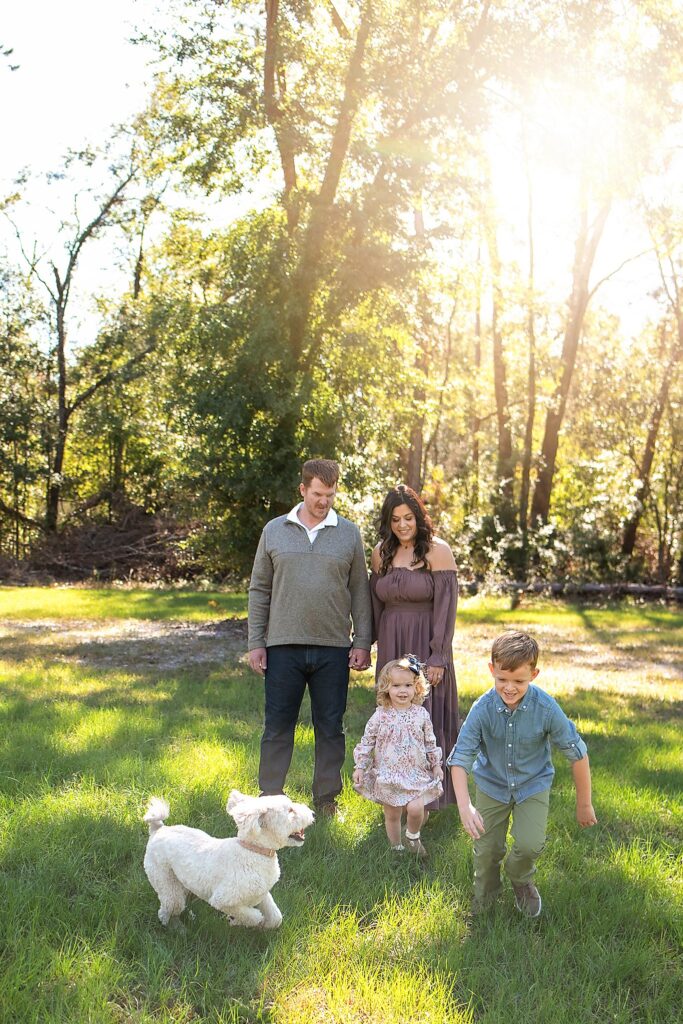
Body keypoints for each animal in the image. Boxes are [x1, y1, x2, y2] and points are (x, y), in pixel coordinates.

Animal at [145, 790, 317, 929]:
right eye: (290, 810)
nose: (313, 813)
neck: (253, 851)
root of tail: (159, 829)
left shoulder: (262, 893)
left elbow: (276, 918)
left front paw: (264, 926)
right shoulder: (223, 900)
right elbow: (253, 916)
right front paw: (239, 921)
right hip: (165, 880)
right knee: (167, 910)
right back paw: (176, 928)